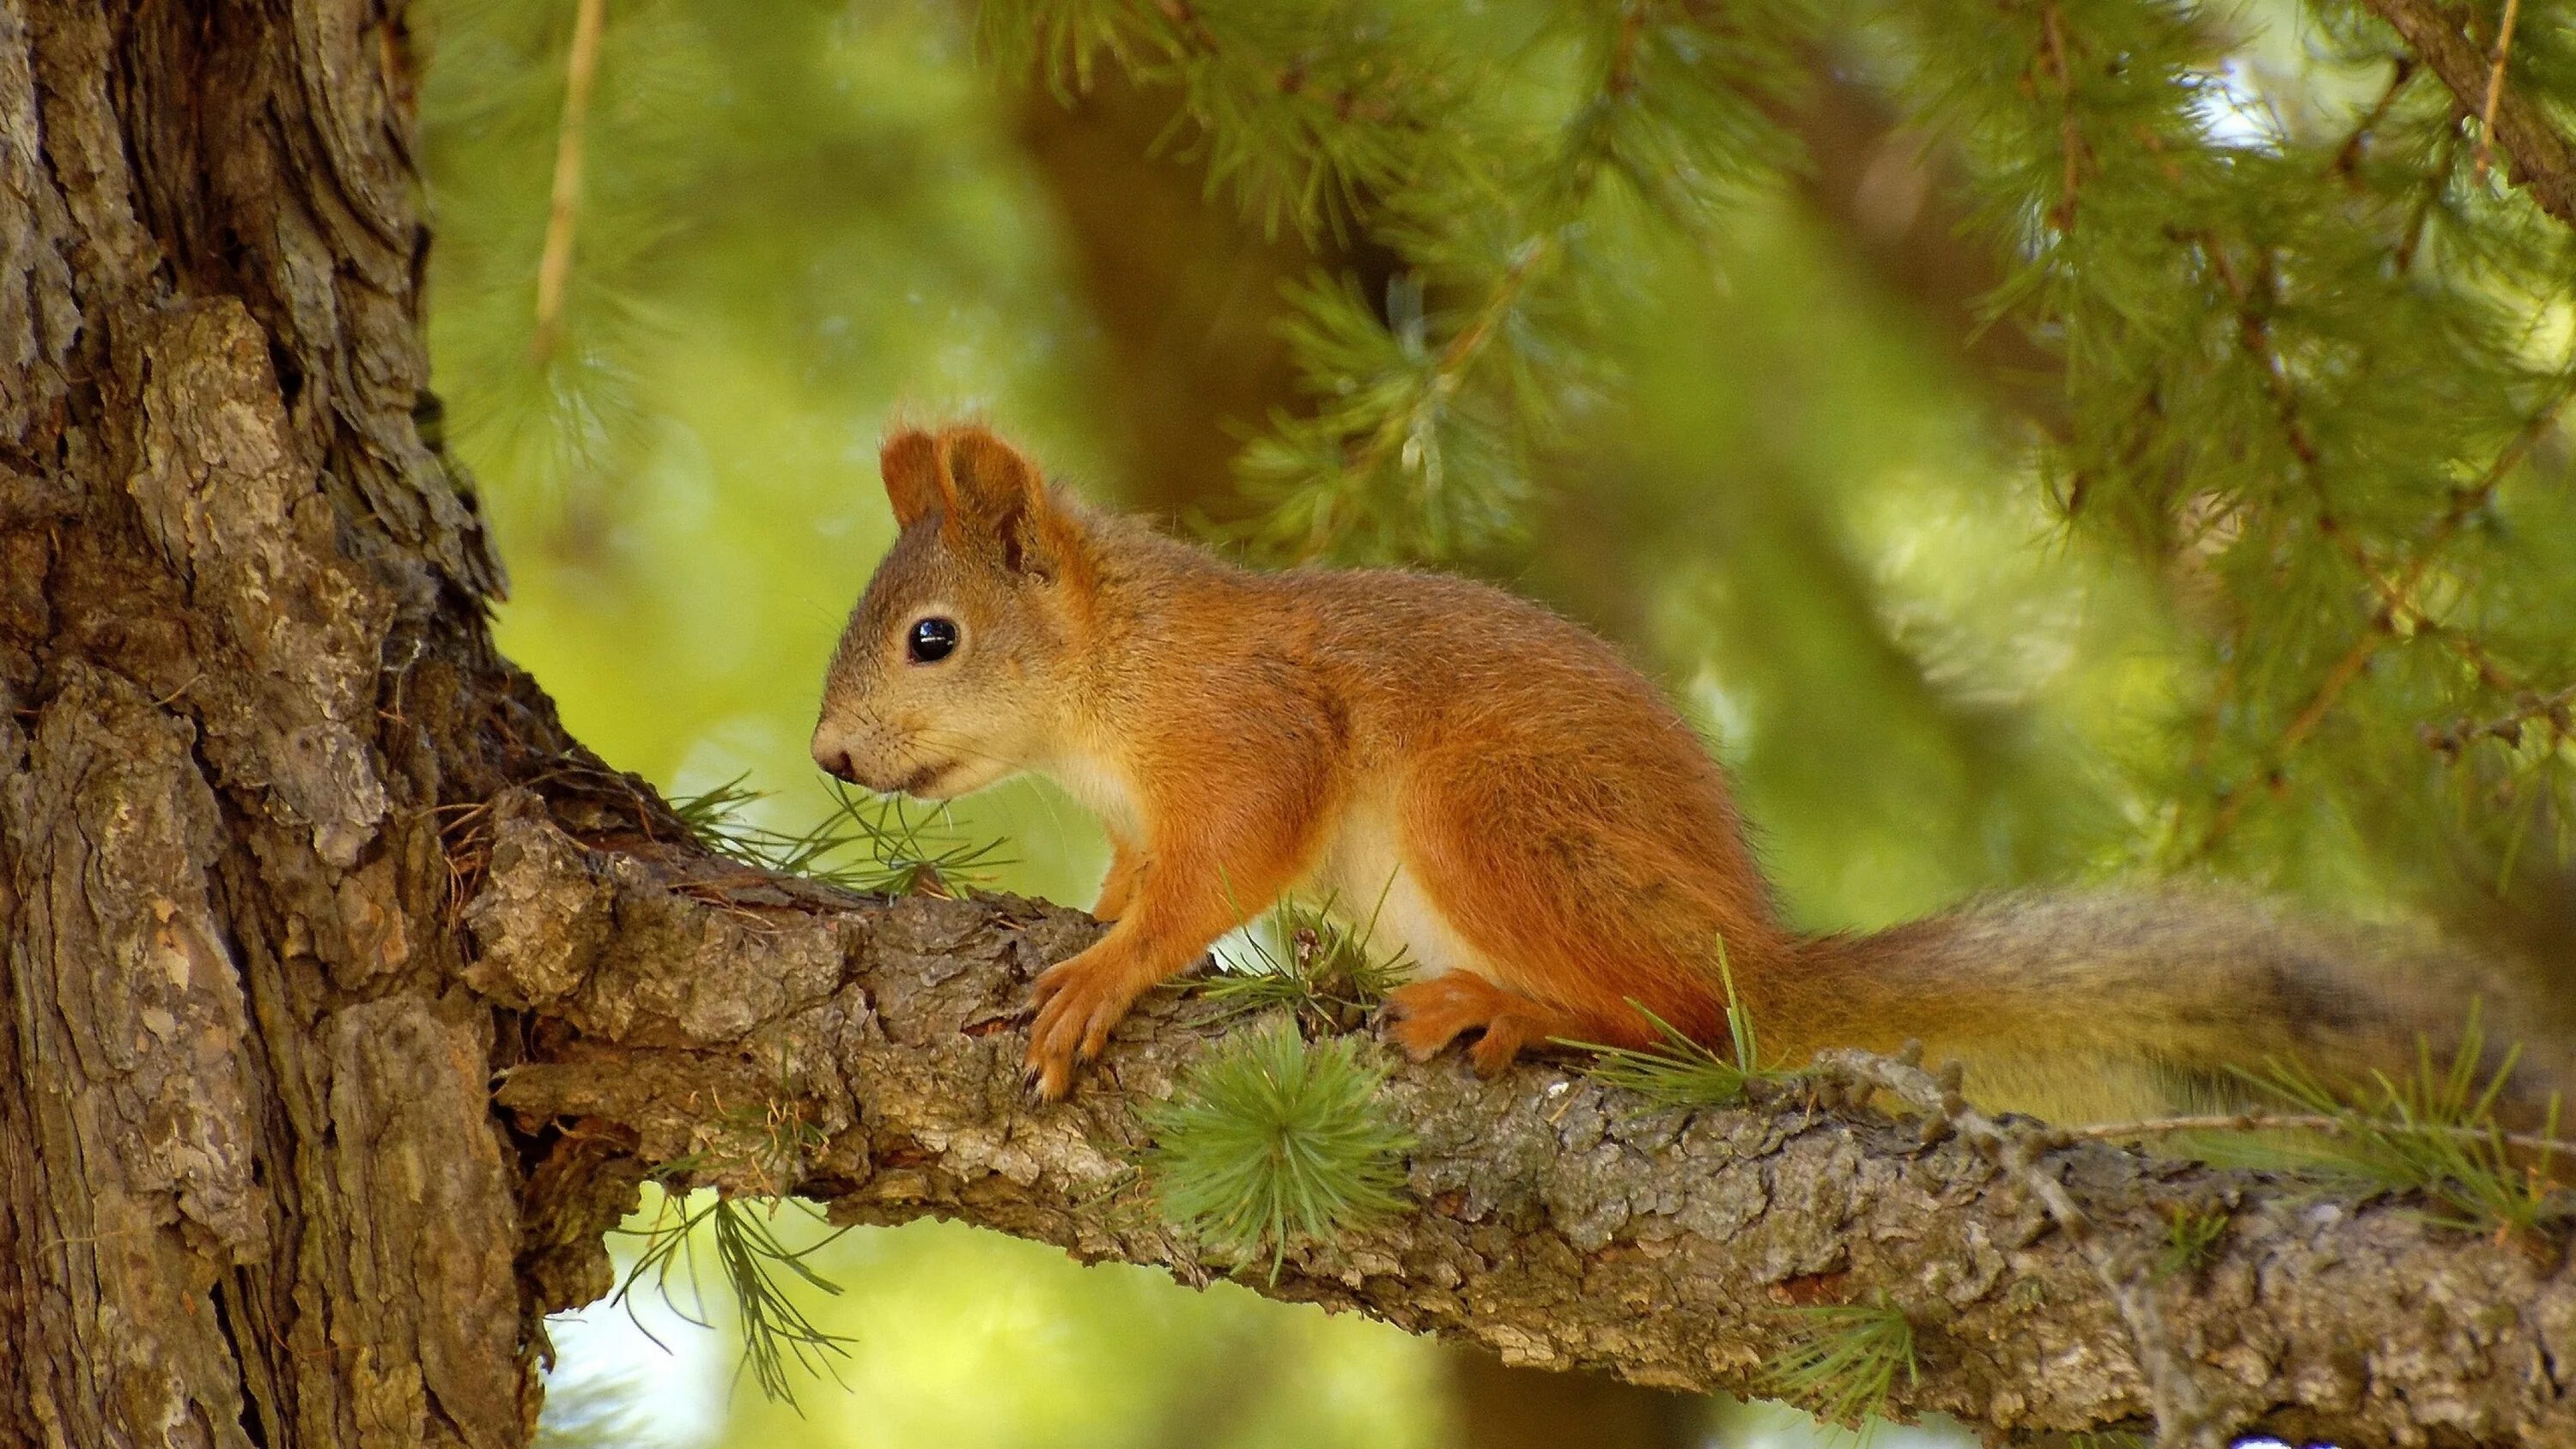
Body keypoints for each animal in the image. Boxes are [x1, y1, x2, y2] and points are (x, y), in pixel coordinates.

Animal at [804, 424, 2555, 1117]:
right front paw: (1094, 917)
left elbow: (1221, 867)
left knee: (1681, 1018)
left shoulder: (1252, 726)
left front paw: (1109, 971)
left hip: (1493, 819)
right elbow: (1139, 871)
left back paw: (1513, 1008)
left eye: (933, 640)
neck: (1110, 679)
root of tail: (1755, 949)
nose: (826, 753)